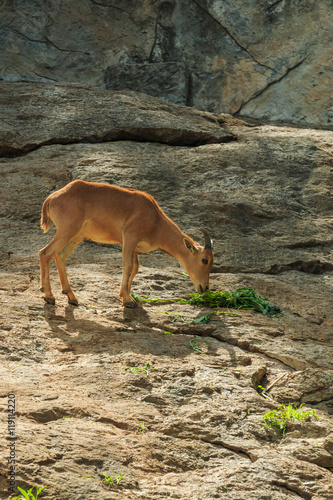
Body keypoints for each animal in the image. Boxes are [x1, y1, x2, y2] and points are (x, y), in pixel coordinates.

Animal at [39, 178, 213, 306]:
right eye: (204, 260)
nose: (204, 288)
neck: (155, 218)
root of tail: (51, 198)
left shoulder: (132, 245)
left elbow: (135, 268)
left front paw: (128, 296)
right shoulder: (130, 237)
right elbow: (128, 266)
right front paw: (127, 300)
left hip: (77, 235)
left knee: (60, 256)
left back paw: (71, 297)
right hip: (67, 230)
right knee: (45, 253)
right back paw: (49, 296)